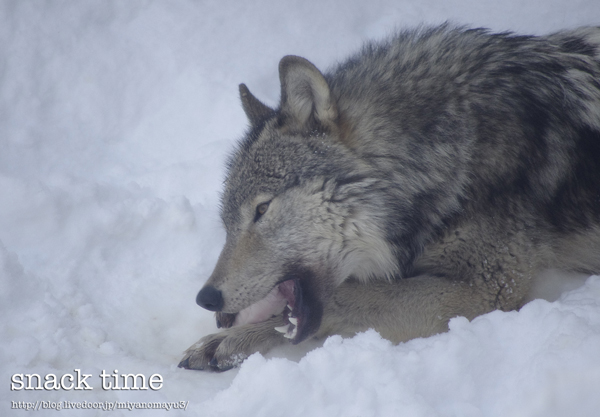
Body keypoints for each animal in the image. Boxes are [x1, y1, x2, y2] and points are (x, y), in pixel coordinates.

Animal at [177, 25, 600, 370]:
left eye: (262, 210)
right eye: (227, 224)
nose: (206, 298)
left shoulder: (488, 287)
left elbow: (342, 299)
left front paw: (233, 336)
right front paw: (228, 338)